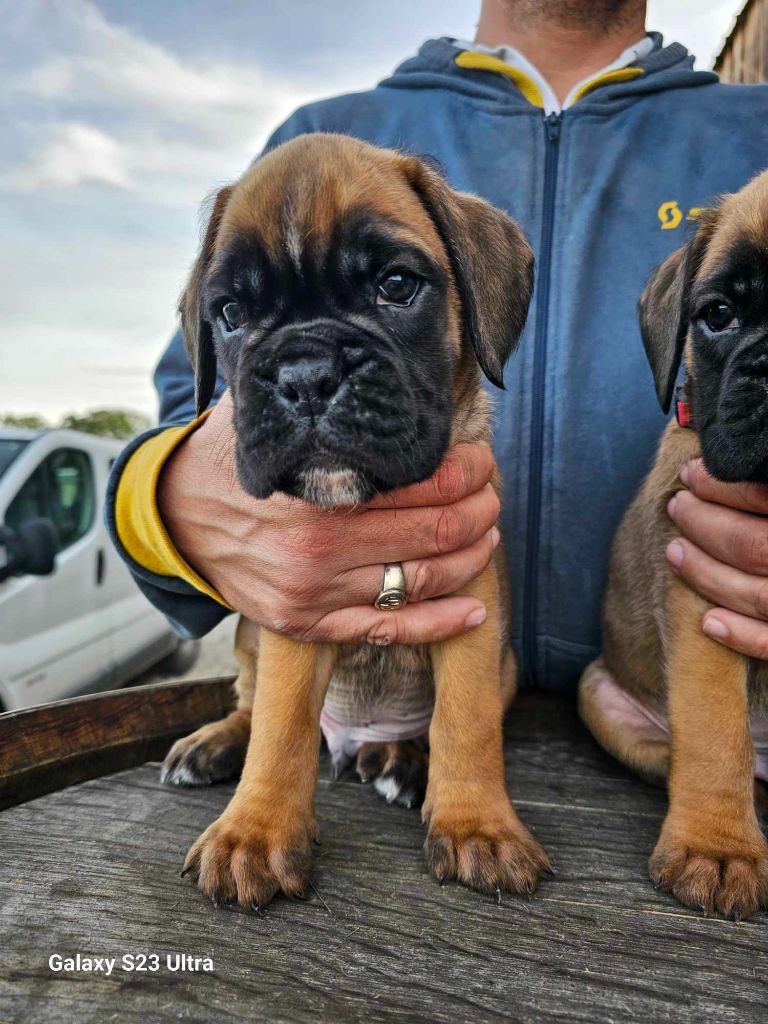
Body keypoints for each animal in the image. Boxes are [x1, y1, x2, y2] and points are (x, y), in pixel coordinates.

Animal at [166, 132, 552, 909]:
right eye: (230, 314)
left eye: (396, 286)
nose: (305, 375)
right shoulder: (293, 611)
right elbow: (281, 724)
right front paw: (255, 831)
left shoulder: (473, 613)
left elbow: (466, 720)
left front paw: (478, 825)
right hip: (249, 631)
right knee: (253, 703)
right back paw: (219, 741)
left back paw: (400, 756)